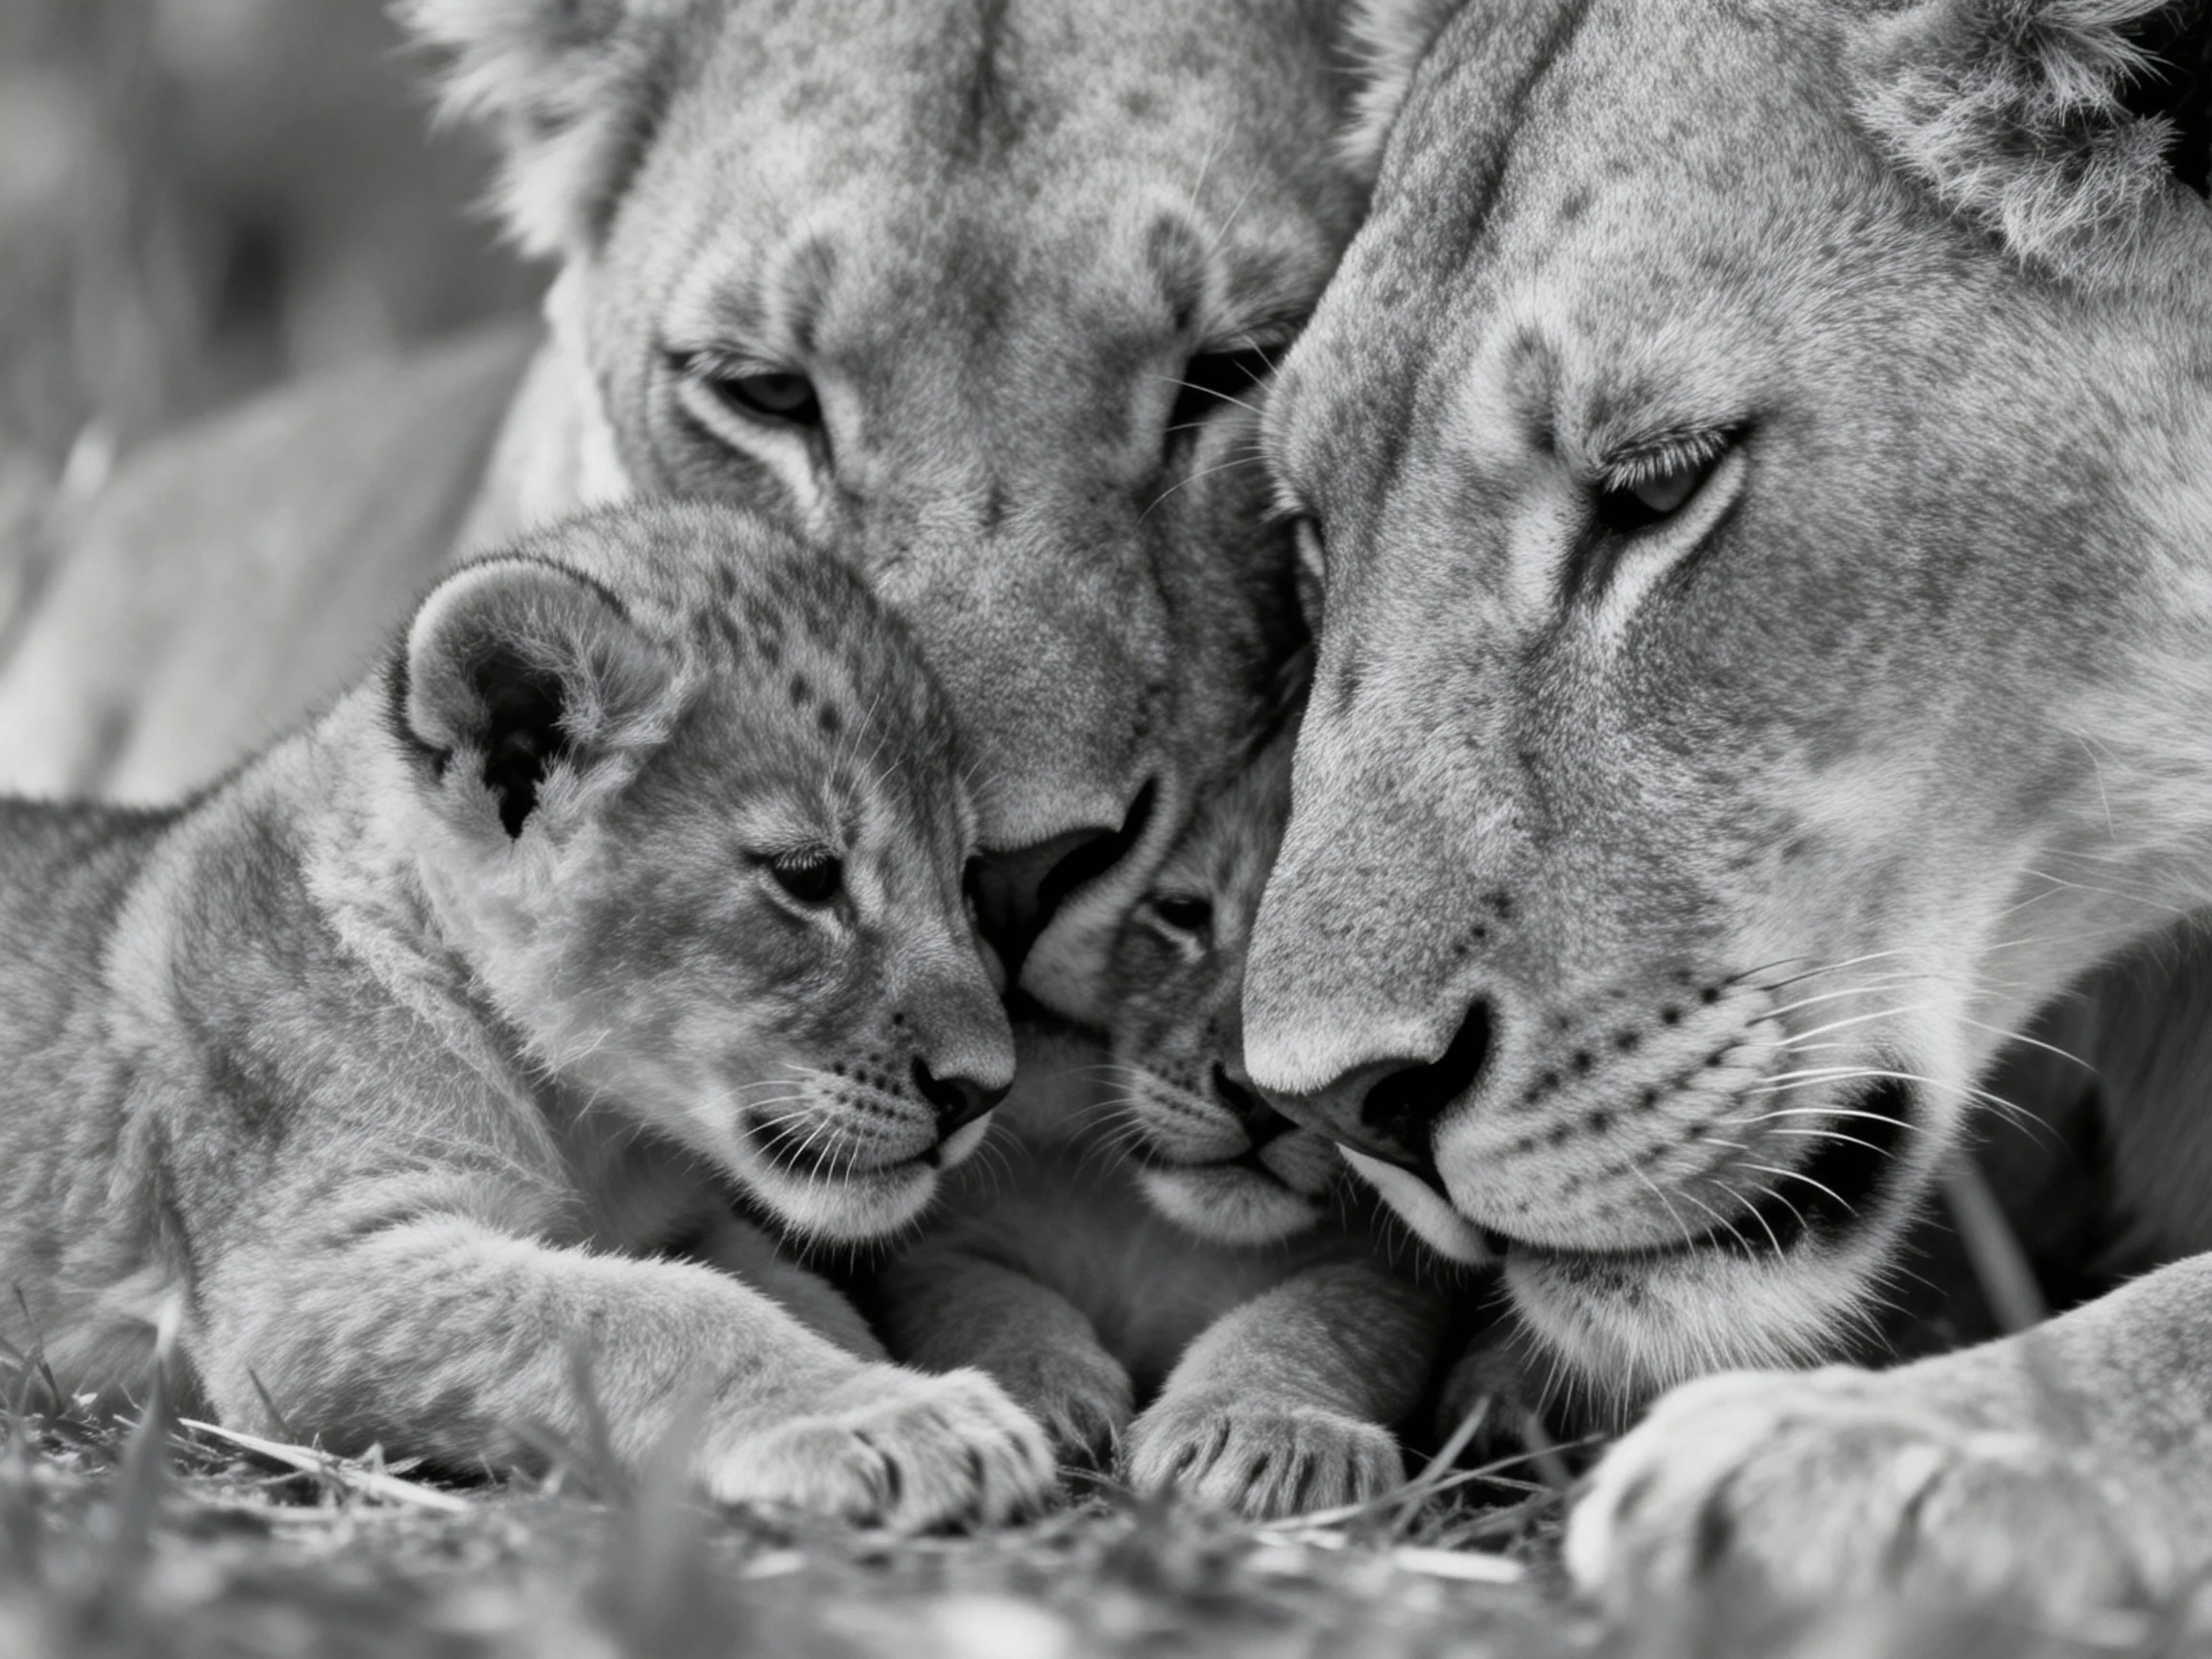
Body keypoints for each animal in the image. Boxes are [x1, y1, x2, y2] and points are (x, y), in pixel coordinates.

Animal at [0, 500, 1058, 1529]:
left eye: (967, 881)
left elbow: (796, 1293)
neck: (589, 1128)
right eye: (806, 877)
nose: (985, 1090)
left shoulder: (681, 1221)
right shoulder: (296, 1282)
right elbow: (663, 1313)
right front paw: (896, 1416)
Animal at [876, 712, 1446, 1519]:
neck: (1156, 1231)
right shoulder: (942, 1240)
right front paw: (1043, 1396)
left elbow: (1313, 1321)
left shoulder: (1389, 1270)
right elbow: (983, 1301)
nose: (1258, 1099)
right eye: (1182, 915)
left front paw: (1270, 1434)